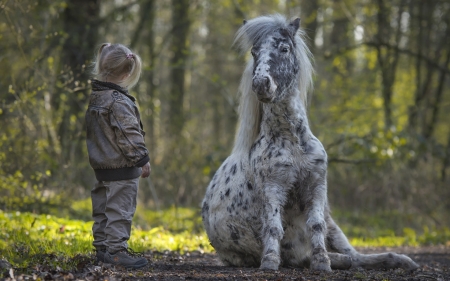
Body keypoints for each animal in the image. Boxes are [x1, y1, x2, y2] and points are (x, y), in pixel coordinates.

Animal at [200, 14, 418, 272]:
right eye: (254, 52)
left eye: (284, 48)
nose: (261, 84)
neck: (292, 141)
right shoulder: (273, 188)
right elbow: (273, 227)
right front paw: (270, 262)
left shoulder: (316, 187)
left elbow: (316, 225)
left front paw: (322, 262)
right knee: (336, 258)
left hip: (333, 223)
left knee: (355, 255)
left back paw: (402, 261)